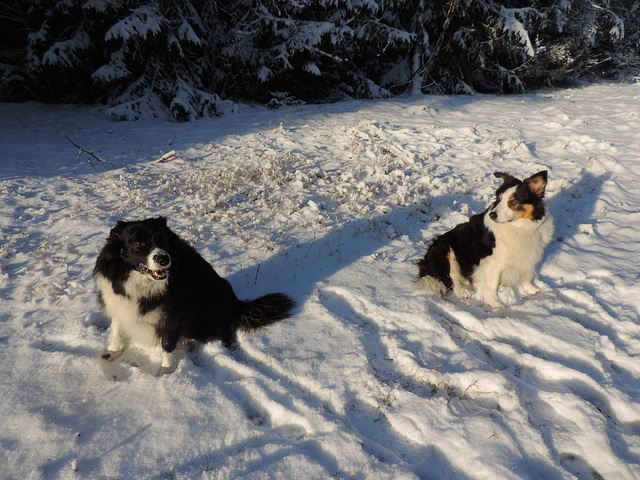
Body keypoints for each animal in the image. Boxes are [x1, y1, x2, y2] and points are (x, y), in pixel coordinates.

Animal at [92, 218, 296, 372]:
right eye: (138, 243)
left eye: (162, 239)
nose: (164, 258)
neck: (139, 281)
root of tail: (237, 305)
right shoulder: (118, 302)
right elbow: (117, 330)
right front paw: (112, 352)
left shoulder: (172, 315)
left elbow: (167, 345)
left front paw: (165, 372)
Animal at [418, 172, 552, 308]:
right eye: (499, 199)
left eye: (513, 202)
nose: (492, 215)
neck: (519, 226)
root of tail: (426, 262)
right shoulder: (493, 262)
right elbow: (492, 284)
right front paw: (495, 303)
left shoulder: (529, 254)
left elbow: (527, 275)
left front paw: (531, 289)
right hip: (446, 248)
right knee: (451, 277)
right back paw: (463, 291)